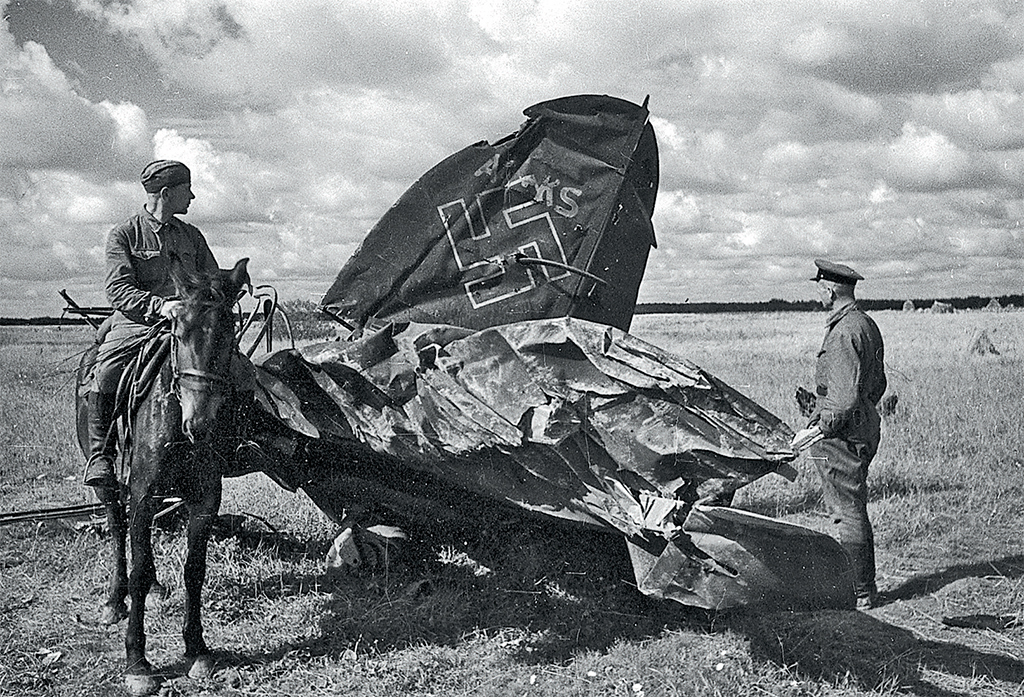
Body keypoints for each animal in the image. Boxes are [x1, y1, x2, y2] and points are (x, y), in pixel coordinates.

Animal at [76, 256, 250, 695]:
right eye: (178, 331)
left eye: (229, 333)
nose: (199, 424)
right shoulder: (142, 491)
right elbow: (137, 568)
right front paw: (137, 661)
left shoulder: (205, 498)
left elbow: (194, 569)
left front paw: (197, 647)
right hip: (108, 479)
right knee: (118, 528)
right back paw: (113, 600)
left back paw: (156, 588)